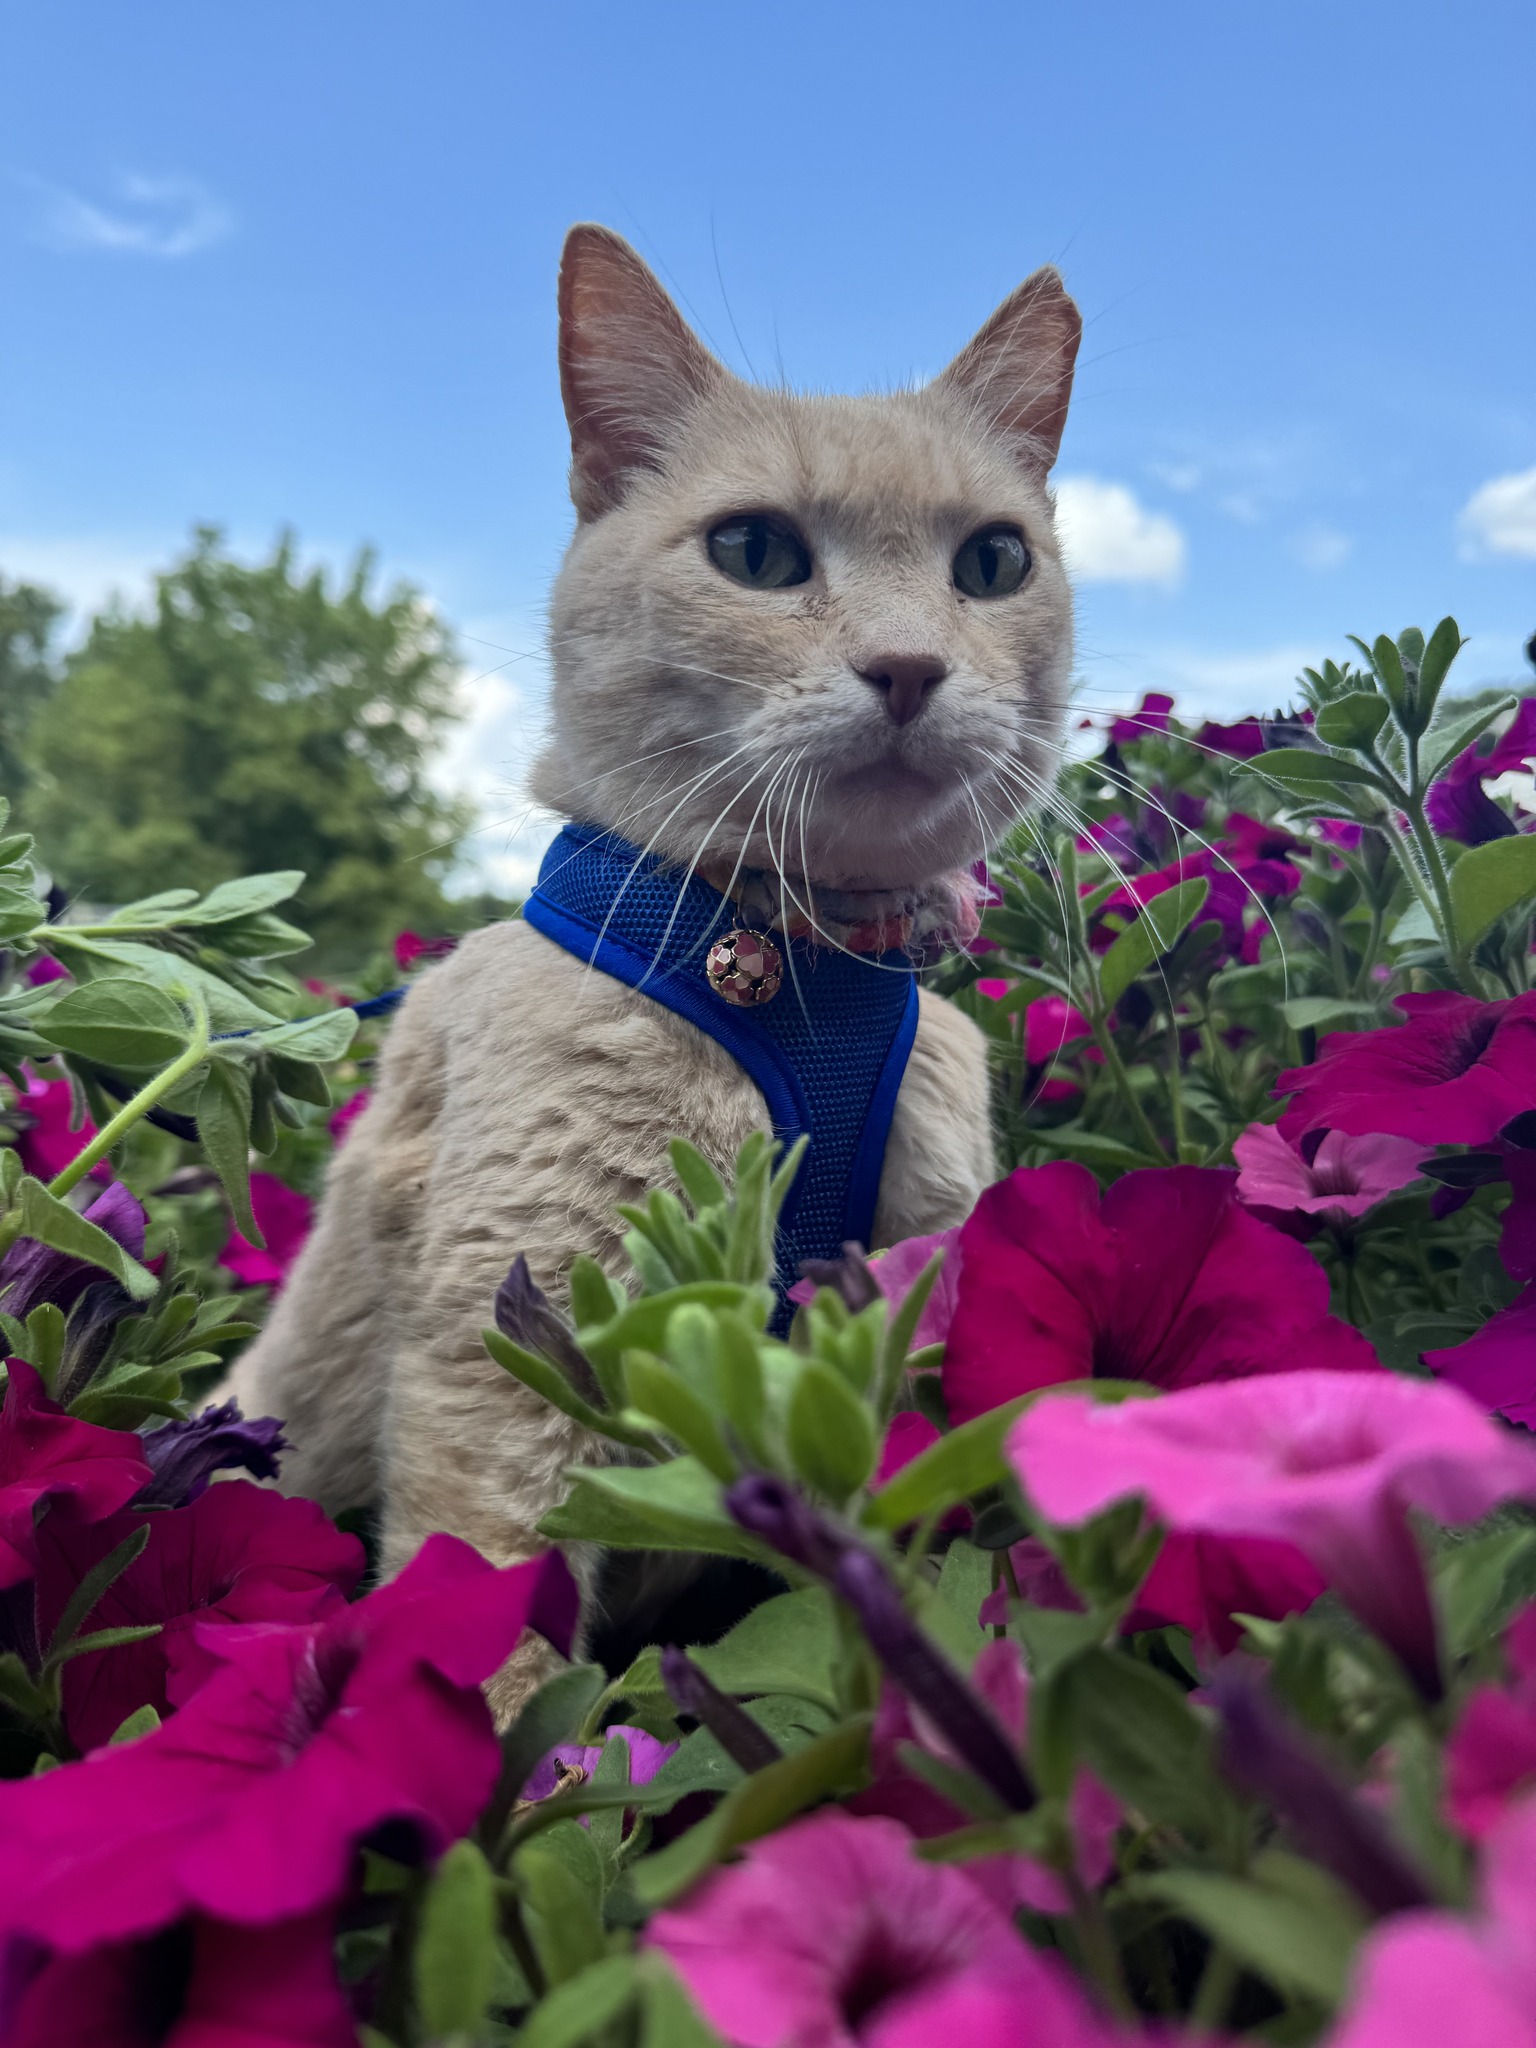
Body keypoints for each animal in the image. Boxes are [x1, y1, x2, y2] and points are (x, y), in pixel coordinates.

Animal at [228, 232, 1089, 1720]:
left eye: (993, 561)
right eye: (755, 551)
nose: (910, 667)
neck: (804, 969)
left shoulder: (908, 1299)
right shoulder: (512, 1351)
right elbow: (499, 1625)